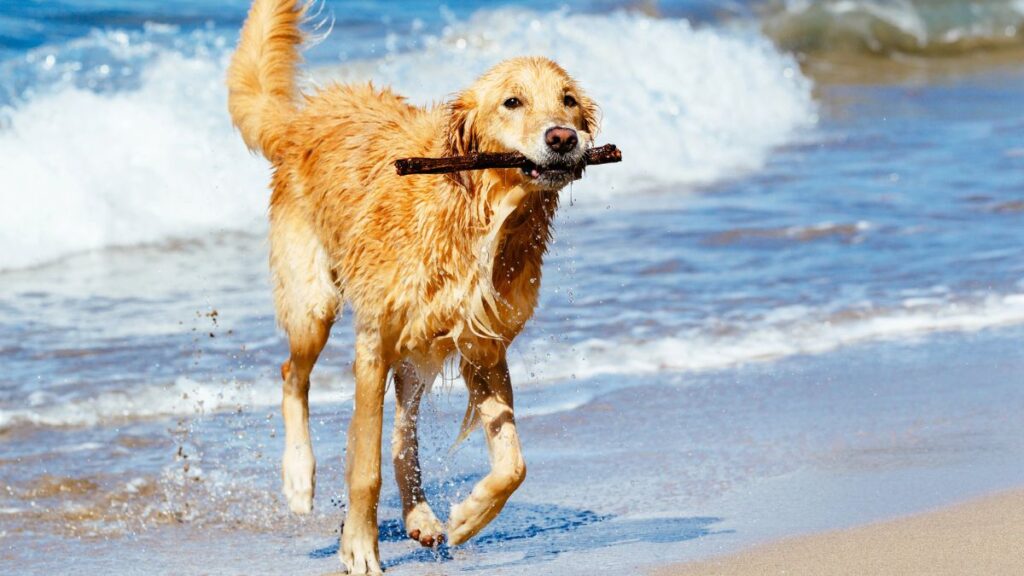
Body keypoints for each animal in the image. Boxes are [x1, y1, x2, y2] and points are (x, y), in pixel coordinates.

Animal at [227, 0, 598, 565]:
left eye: (569, 100)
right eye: (512, 101)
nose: (563, 138)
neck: (480, 215)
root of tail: (302, 116)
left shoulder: (483, 346)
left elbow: (513, 463)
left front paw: (469, 517)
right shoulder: (373, 343)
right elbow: (364, 467)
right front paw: (359, 549)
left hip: (418, 351)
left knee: (404, 434)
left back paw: (421, 515)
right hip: (315, 303)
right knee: (293, 372)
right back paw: (298, 477)